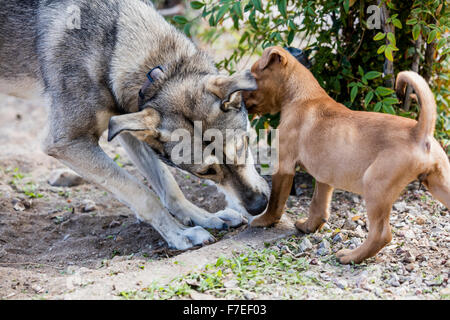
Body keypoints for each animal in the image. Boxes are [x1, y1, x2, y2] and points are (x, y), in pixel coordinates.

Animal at [0, 0, 268, 250]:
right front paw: (179, 234)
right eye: (206, 172)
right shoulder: (68, 143)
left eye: (242, 146)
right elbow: (142, 193)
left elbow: (169, 185)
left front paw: (202, 217)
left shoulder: (127, 127)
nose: (259, 206)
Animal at [243, 45, 450, 264]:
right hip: (438, 183)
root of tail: (419, 132)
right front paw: (309, 226)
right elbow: (318, 205)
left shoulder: (284, 166)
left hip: (375, 185)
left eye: (253, 78)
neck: (303, 96)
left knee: (381, 234)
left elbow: (275, 202)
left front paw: (263, 221)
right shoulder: (324, 176)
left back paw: (351, 256)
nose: (239, 99)